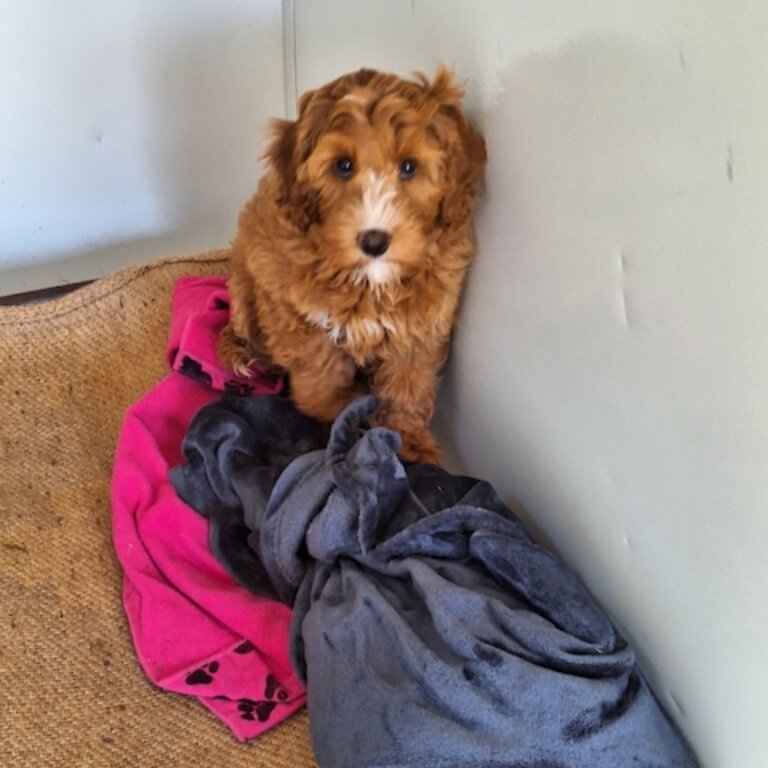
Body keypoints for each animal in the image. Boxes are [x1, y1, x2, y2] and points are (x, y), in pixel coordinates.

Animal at [219, 67, 486, 462]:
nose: (374, 241)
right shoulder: (294, 313)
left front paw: (410, 443)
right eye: (343, 166)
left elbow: (409, 384)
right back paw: (241, 354)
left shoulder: (421, 322)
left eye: (409, 167)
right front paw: (342, 416)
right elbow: (321, 381)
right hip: (244, 283)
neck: (370, 281)